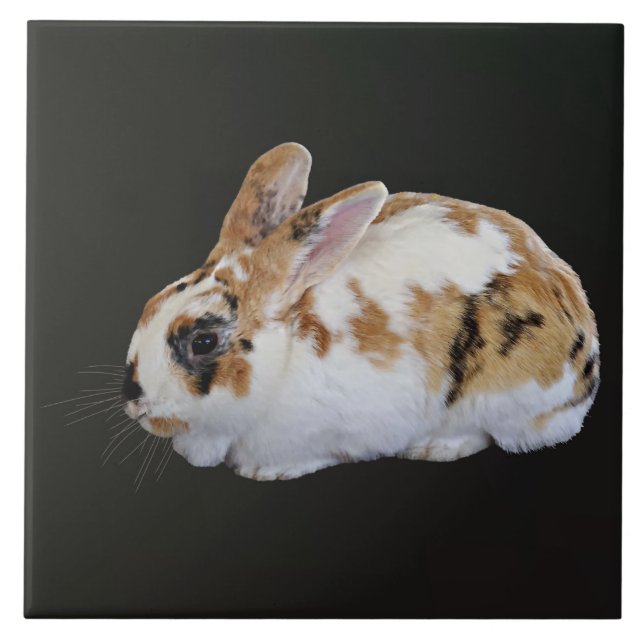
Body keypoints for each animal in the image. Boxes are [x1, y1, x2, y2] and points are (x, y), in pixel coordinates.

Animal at [122, 142, 599, 480]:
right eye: (149, 306)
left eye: (203, 341)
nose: (133, 399)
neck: (286, 355)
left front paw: (268, 472)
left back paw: (435, 446)